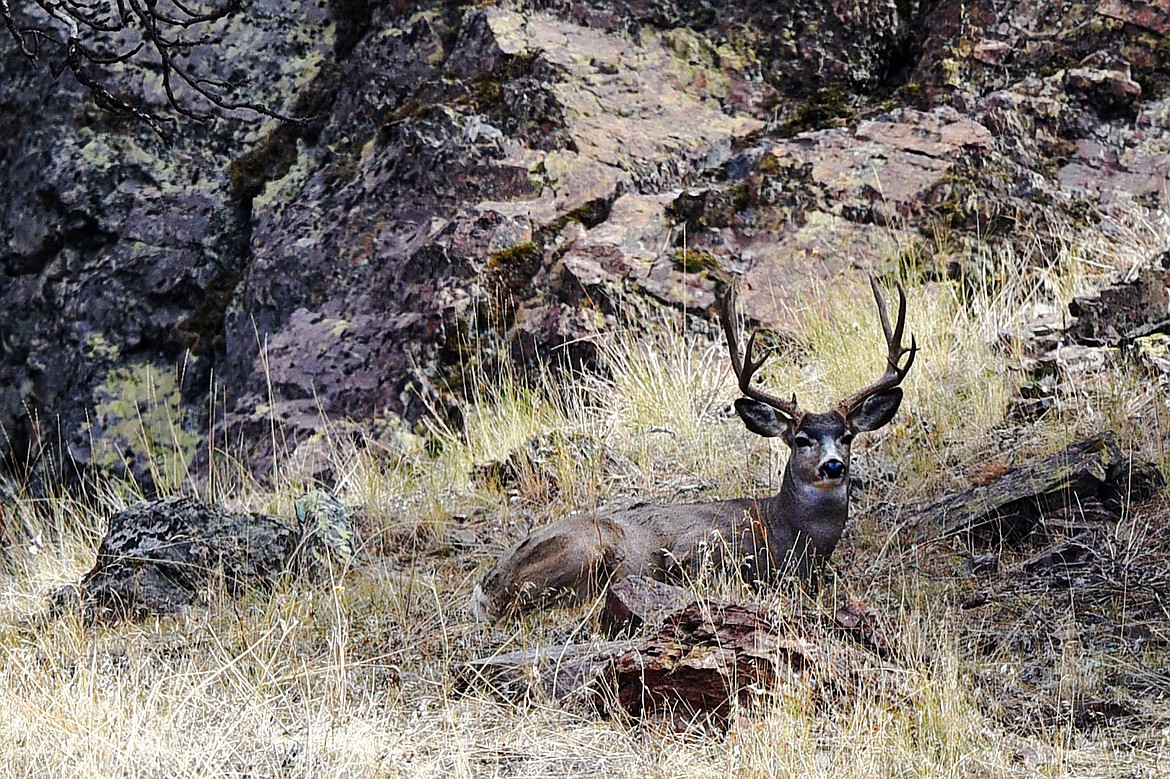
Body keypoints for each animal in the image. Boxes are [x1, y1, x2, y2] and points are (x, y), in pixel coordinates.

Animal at [465, 272, 912, 617]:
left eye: (847, 436)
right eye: (801, 440)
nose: (833, 465)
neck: (789, 532)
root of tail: (486, 585)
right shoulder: (698, 548)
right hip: (584, 546)